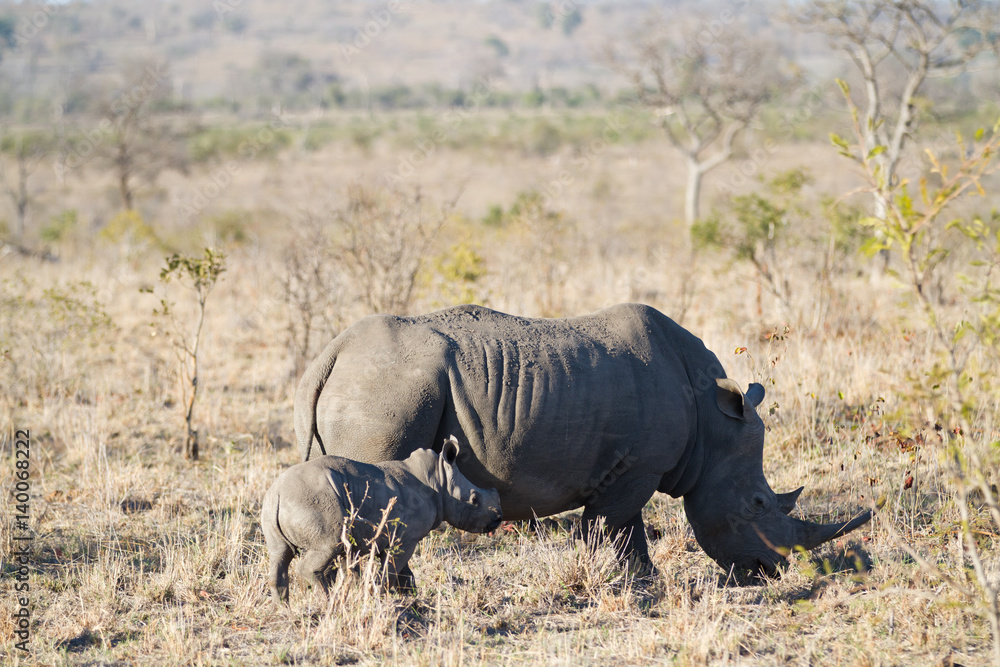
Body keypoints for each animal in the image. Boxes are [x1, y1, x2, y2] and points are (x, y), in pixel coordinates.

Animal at [261, 436, 503, 603]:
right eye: (474, 499)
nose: (498, 518)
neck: (439, 480)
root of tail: (278, 494)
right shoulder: (406, 538)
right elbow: (391, 570)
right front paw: (380, 596)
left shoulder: (386, 537)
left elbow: (399, 572)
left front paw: (409, 598)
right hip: (314, 501)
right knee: (328, 546)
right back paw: (327, 601)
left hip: (275, 506)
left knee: (280, 553)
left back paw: (284, 609)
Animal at [295, 303, 872, 579]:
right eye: (756, 504)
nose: (770, 572)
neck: (713, 423)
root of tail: (332, 353)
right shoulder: (638, 467)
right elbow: (609, 527)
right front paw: (624, 582)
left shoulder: (632, 467)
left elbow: (627, 528)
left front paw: (646, 581)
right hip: (388, 388)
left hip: (376, 384)